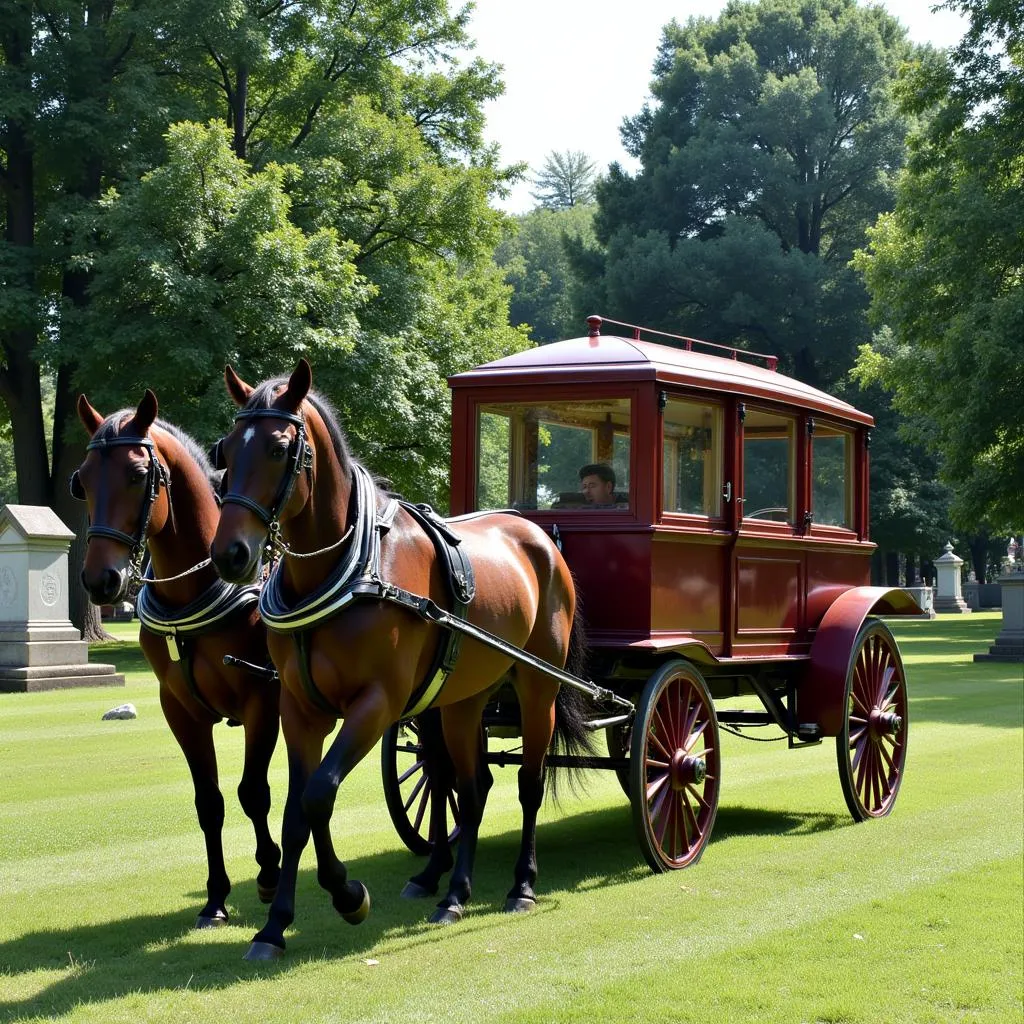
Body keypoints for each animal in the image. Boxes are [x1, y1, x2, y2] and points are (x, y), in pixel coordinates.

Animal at [72, 389, 282, 929]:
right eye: (83, 480)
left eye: (136, 475)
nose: (100, 580)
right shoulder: (180, 708)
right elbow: (209, 802)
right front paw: (215, 898)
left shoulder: (262, 698)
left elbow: (254, 791)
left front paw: (269, 873)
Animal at [210, 358, 589, 958]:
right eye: (225, 449)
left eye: (277, 447)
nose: (230, 553)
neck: (348, 567)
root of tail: (538, 534)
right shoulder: (299, 709)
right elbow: (298, 811)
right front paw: (275, 926)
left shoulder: (375, 706)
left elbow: (319, 794)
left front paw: (347, 895)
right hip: (463, 699)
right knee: (471, 789)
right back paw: (453, 893)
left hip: (537, 687)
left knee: (528, 784)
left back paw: (521, 886)